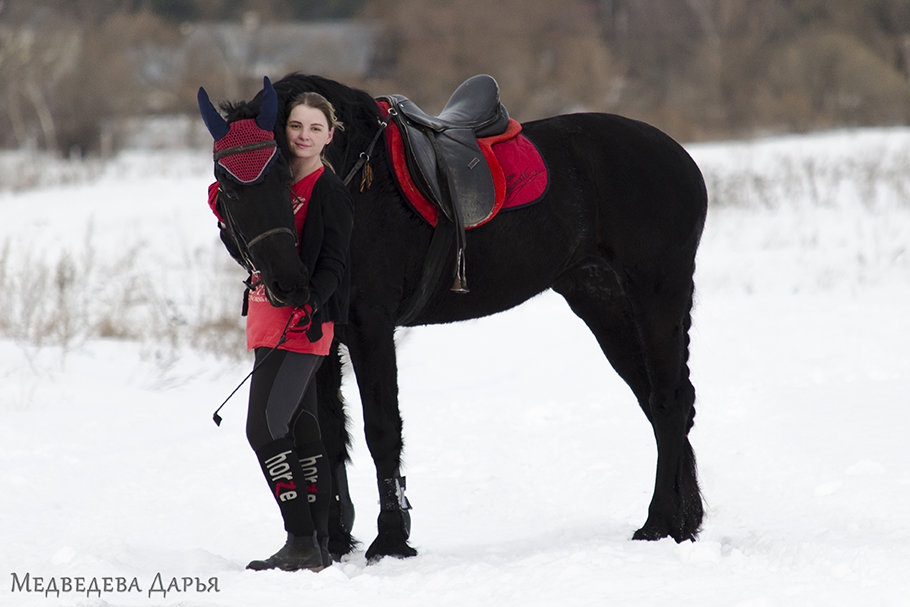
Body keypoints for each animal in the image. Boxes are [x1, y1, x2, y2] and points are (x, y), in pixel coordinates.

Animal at [201, 73, 712, 564]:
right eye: (226, 183)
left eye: (283, 169)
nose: (288, 281)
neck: (355, 184)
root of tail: (679, 156)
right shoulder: (323, 336)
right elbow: (328, 433)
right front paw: (336, 540)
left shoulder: (371, 328)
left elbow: (381, 430)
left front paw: (391, 541)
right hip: (601, 300)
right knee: (658, 400)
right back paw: (684, 520)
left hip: (657, 292)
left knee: (669, 402)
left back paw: (660, 523)